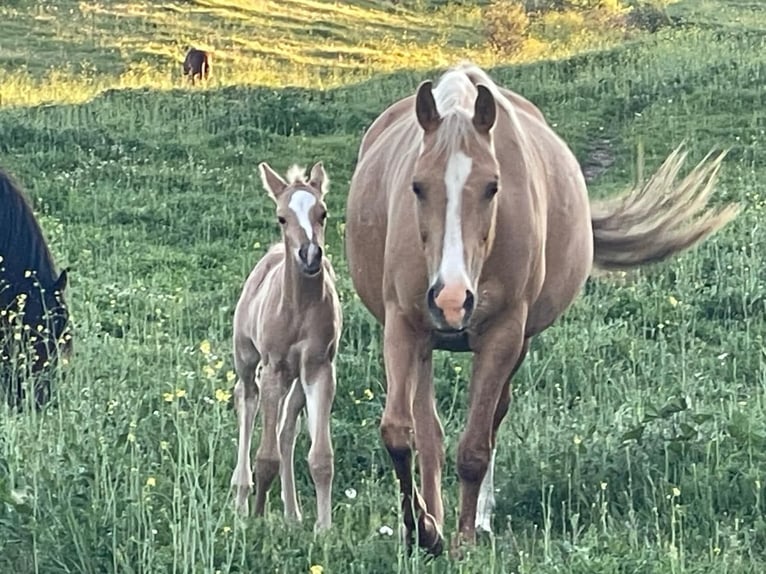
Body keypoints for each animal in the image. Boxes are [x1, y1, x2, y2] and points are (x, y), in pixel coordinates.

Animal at [230, 160, 344, 532]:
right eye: (282, 217)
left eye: (323, 213)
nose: (310, 255)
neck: (299, 309)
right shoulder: (274, 367)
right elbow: (265, 456)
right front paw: (255, 518)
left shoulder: (320, 369)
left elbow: (321, 456)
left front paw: (324, 529)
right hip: (247, 358)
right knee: (246, 401)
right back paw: (241, 495)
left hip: (297, 378)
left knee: (285, 430)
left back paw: (293, 515)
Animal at [346, 63, 736, 560]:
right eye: (417, 186)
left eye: (492, 187)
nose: (452, 300)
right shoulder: (403, 325)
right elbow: (400, 433)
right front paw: (423, 531)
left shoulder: (504, 334)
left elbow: (475, 447)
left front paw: (464, 538)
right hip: (426, 344)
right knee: (429, 433)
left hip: (517, 342)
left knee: (490, 422)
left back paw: (479, 518)